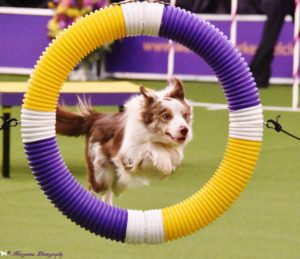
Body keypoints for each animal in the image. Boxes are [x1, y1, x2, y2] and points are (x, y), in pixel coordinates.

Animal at [56, 79, 192, 205]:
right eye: (166, 116)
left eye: (185, 115)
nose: (185, 130)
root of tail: (96, 116)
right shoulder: (126, 155)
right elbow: (150, 145)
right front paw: (163, 162)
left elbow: (172, 158)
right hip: (100, 173)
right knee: (95, 189)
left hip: (114, 178)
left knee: (109, 192)